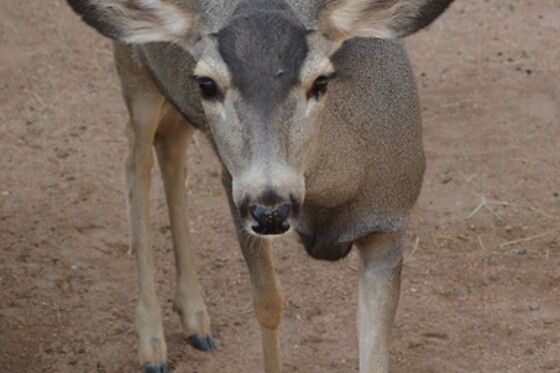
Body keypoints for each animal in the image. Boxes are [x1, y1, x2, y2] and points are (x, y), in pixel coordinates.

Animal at [65, 0, 456, 372]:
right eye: (207, 83)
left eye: (321, 81)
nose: (270, 209)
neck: (335, 196)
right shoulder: (232, 187)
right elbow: (269, 302)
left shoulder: (388, 231)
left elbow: (375, 350)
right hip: (134, 70)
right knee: (137, 160)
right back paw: (152, 345)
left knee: (171, 147)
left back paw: (195, 320)